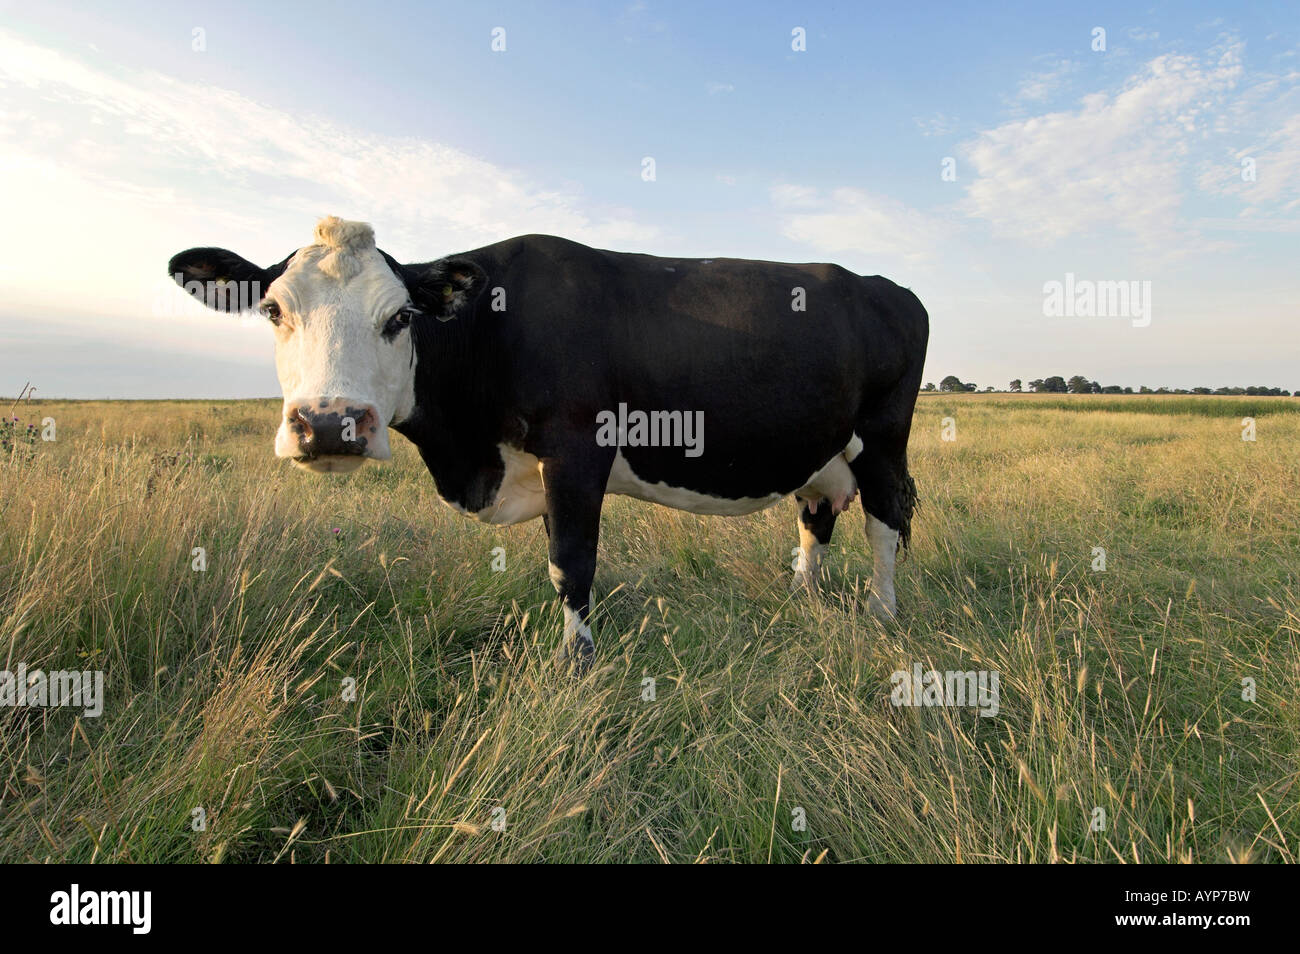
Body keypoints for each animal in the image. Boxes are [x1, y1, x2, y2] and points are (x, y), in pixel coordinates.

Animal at [169, 217, 928, 668]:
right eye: (273, 310)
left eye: (401, 317)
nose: (329, 423)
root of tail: (886, 286)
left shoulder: (578, 449)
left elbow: (572, 562)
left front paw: (577, 660)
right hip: (820, 450)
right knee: (815, 517)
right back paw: (801, 598)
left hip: (884, 438)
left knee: (885, 521)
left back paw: (882, 612)